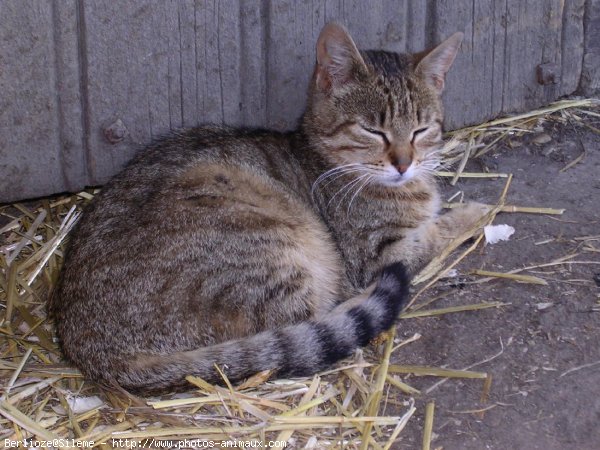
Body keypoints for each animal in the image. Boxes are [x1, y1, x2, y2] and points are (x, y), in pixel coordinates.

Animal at [50, 22, 488, 392]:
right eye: (372, 130)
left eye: (421, 129)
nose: (403, 163)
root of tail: (94, 351)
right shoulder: (379, 254)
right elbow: (436, 232)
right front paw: (477, 211)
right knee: (312, 317)